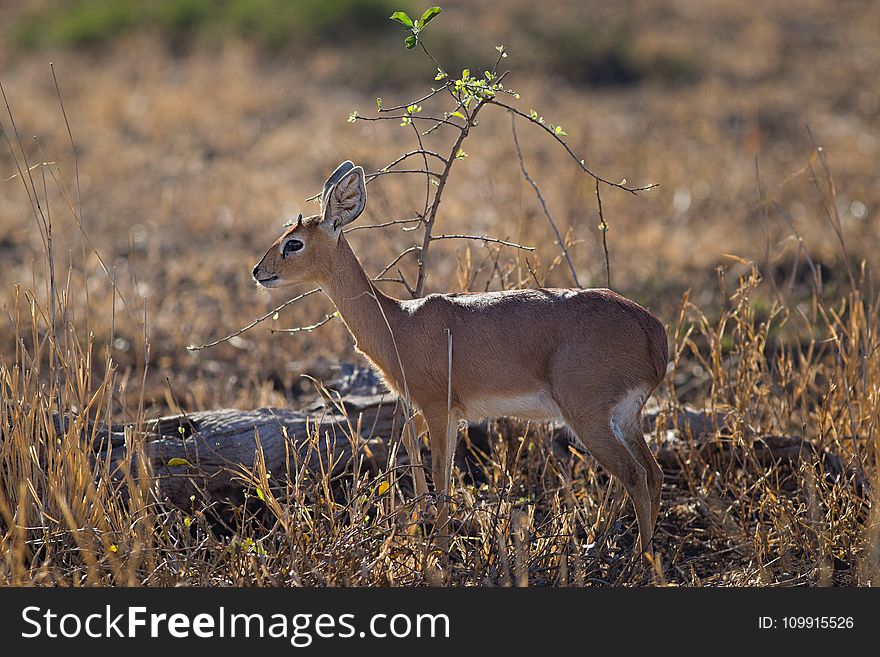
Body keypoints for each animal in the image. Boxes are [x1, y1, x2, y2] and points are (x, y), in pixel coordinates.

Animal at [253, 161, 668, 552]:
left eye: (293, 243)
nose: (259, 271)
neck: (398, 324)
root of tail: (652, 330)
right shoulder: (449, 411)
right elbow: (409, 439)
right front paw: (414, 524)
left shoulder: (438, 406)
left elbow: (441, 474)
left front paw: (437, 548)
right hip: (626, 416)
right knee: (654, 472)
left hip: (588, 417)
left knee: (634, 475)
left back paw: (638, 559)